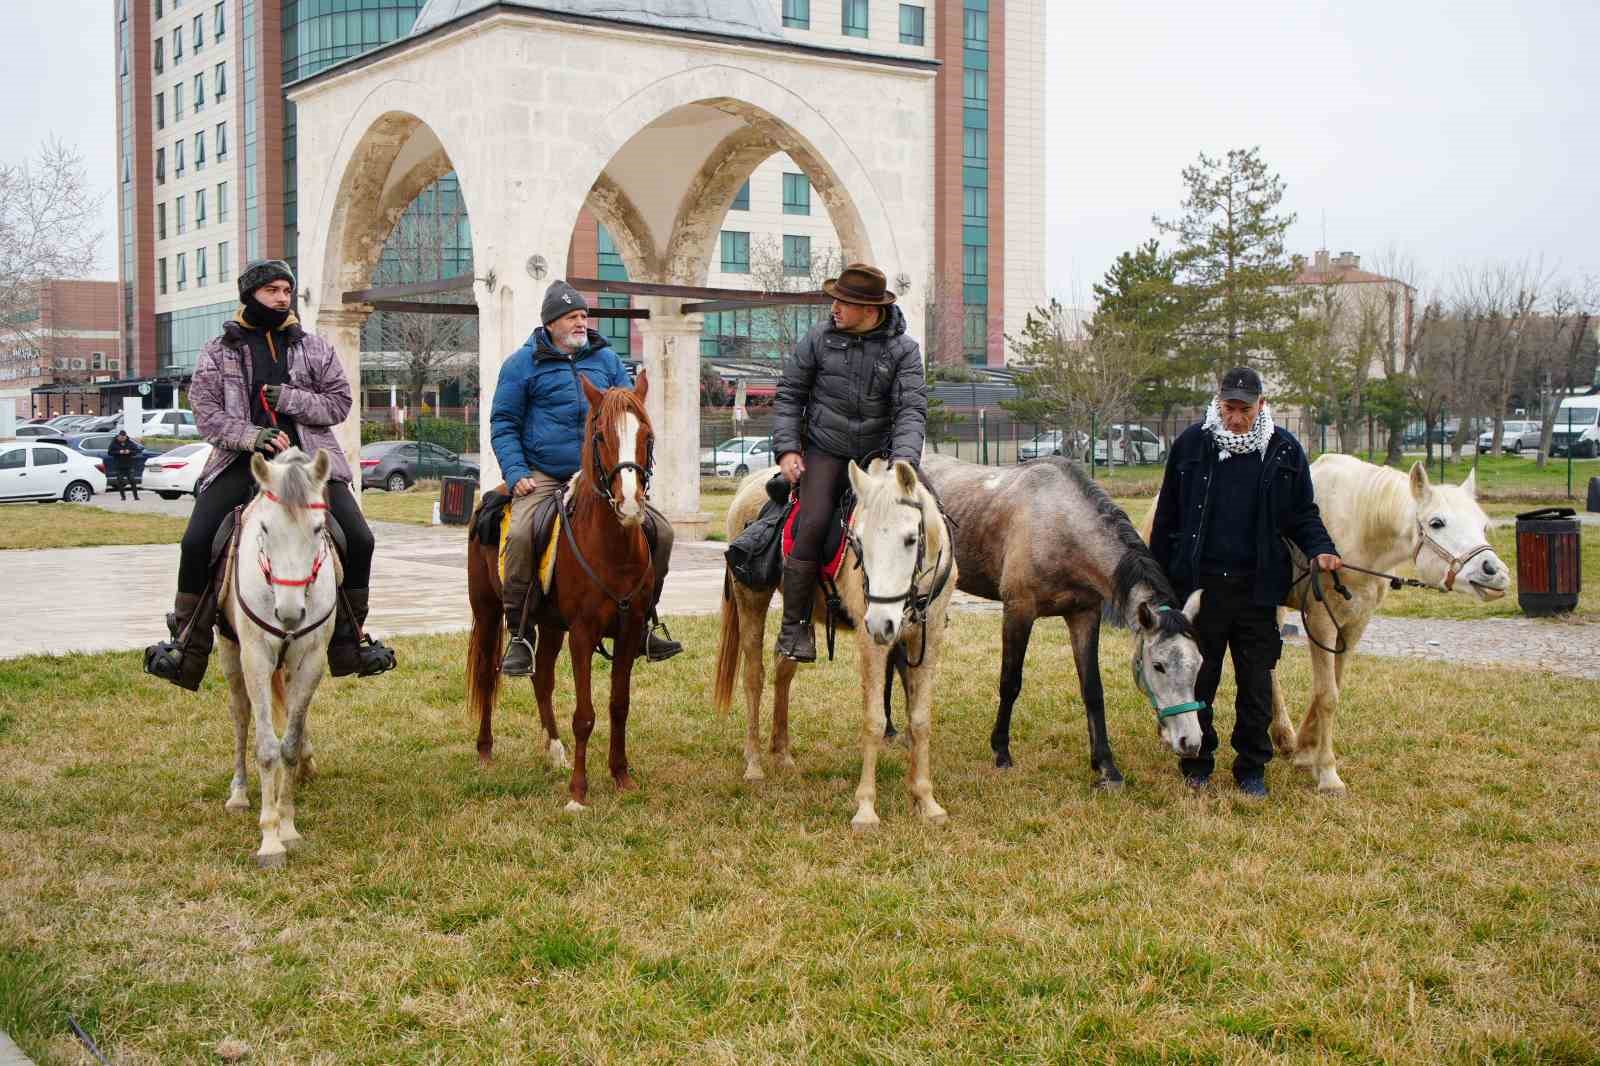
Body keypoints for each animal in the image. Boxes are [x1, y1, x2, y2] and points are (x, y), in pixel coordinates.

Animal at [216, 448, 337, 864]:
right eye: (266, 529)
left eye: (318, 528)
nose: (288, 612)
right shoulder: (255, 657)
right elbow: (267, 748)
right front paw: (269, 839)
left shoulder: (311, 659)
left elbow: (289, 743)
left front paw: (288, 827)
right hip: (231, 653)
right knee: (240, 716)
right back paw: (238, 793)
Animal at [464, 368, 656, 806]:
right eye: (600, 435)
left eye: (647, 435)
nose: (630, 504)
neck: (612, 548)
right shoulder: (582, 634)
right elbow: (584, 715)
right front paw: (578, 793)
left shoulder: (629, 630)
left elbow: (619, 705)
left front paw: (621, 776)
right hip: (487, 612)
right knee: (488, 675)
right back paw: (484, 751)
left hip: (550, 625)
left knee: (543, 680)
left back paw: (554, 750)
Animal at [716, 457, 960, 832]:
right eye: (858, 541)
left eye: (910, 539)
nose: (882, 623)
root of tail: (749, 485)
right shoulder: (872, 643)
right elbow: (874, 720)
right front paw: (866, 809)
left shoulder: (928, 637)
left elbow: (920, 721)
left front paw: (926, 801)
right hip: (751, 601)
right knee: (754, 678)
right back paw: (754, 763)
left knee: (783, 670)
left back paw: (782, 753)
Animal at [1267, 451, 1504, 793]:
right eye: (1437, 523)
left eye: (1483, 525)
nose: (1494, 572)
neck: (1359, 527)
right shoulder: (1322, 621)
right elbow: (1327, 696)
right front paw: (1327, 773)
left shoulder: (1355, 624)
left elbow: (1331, 685)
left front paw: (1305, 751)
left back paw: (1284, 737)